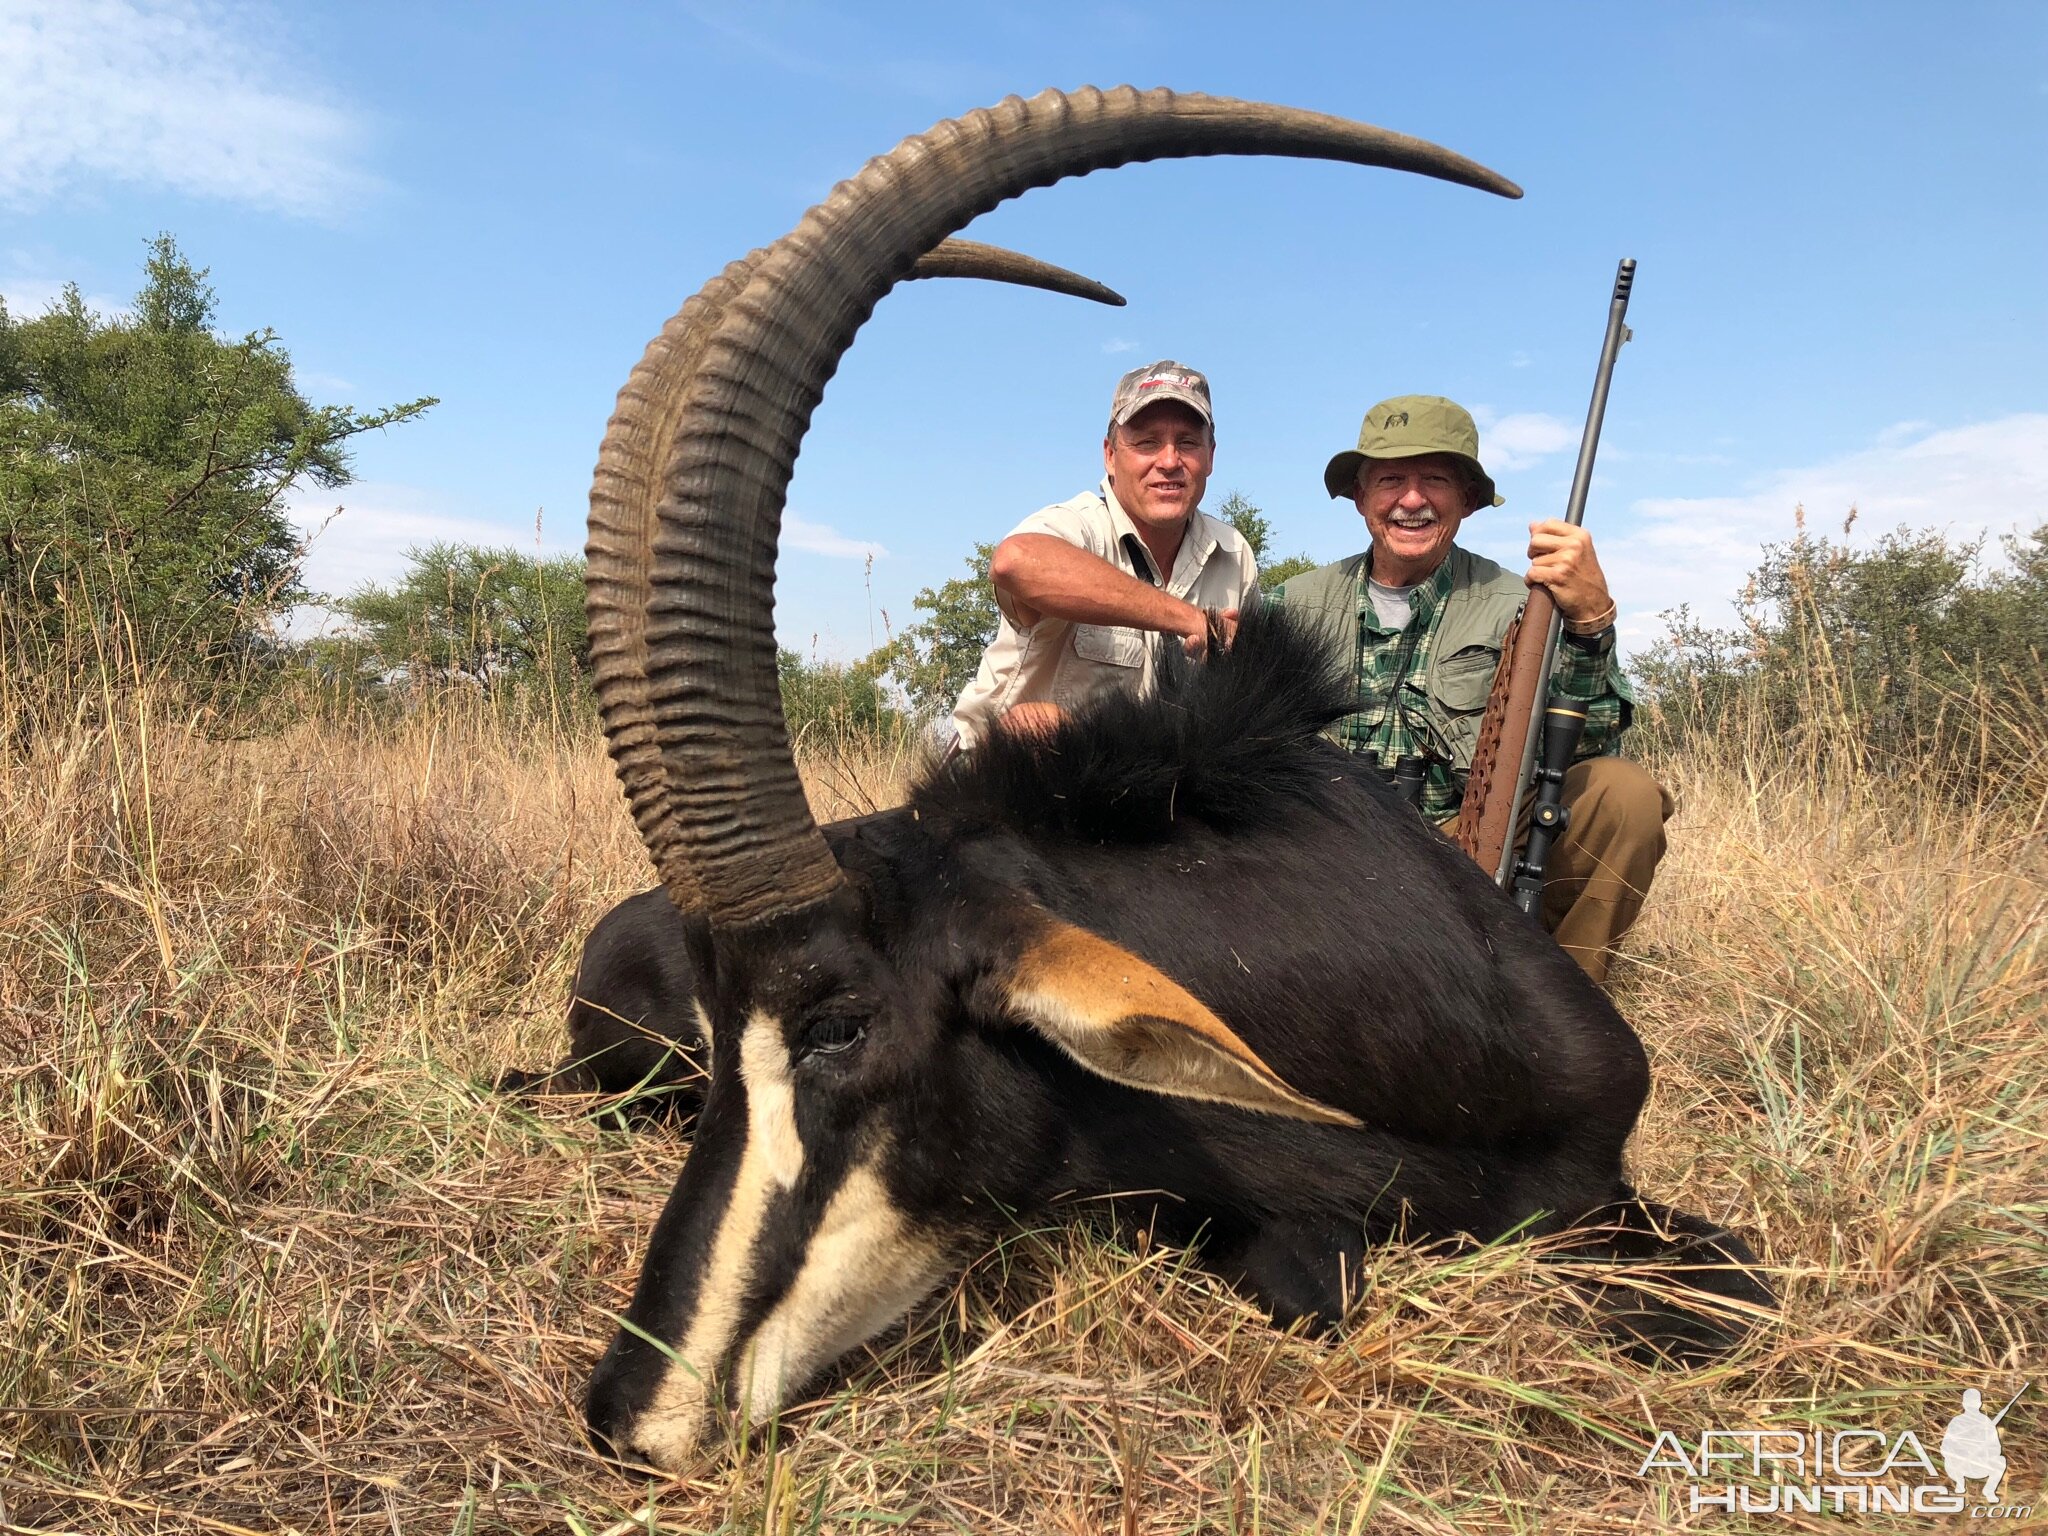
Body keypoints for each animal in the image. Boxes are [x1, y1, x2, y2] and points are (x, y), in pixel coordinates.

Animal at [548, 87, 1777, 1482]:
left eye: (838, 1023)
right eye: (727, 1024)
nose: (632, 1417)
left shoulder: (1596, 1169)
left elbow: (1731, 1299)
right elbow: (1313, 1274)